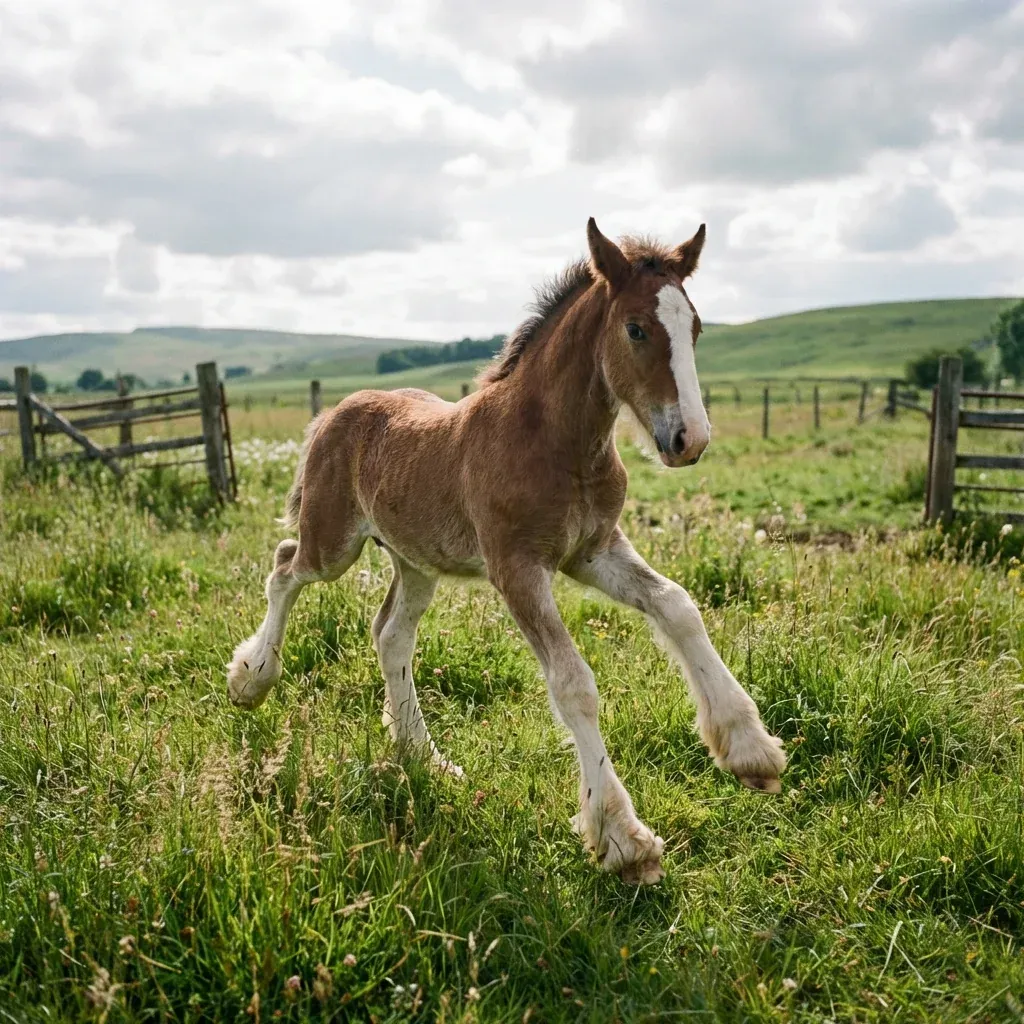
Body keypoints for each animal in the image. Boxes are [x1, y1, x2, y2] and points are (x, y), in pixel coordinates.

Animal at [227, 219, 786, 885]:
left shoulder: (593, 551)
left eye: (695, 327)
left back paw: (425, 759)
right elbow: (573, 682)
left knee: (391, 634)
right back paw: (251, 679)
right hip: (333, 543)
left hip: (417, 560)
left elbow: (677, 606)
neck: (557, 442)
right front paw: (623, 839)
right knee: (285, 566)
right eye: (636, 328)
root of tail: (334, 411)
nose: (689, 440)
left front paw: (750, 749)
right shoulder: (517, 568)